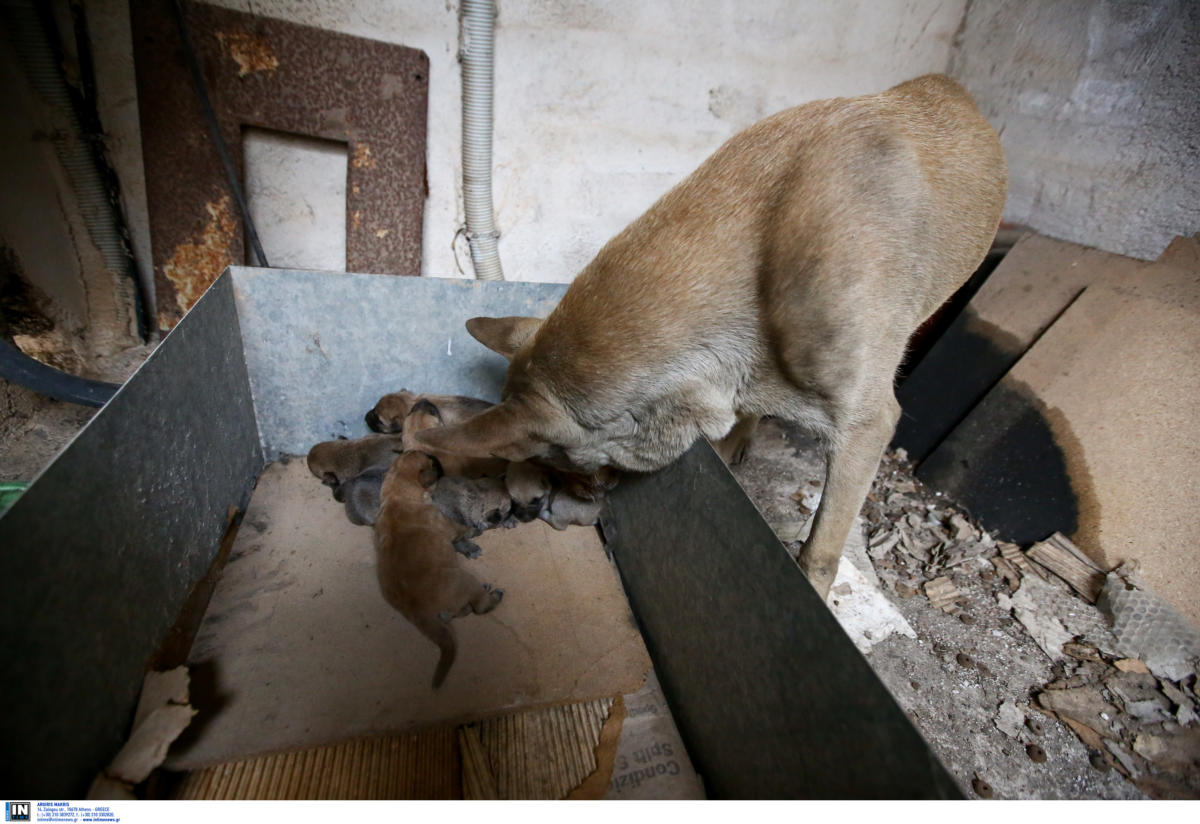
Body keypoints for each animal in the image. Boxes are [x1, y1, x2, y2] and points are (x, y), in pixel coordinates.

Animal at [376, 450, 504, 690]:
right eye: (431, 462)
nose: (435, 457)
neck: (398, 495)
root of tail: (417, 610)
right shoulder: (450, 525)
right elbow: (464, 528)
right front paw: (476, 529)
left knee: (461, 612)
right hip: (466, 580)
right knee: (480, 607)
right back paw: (493, 596)